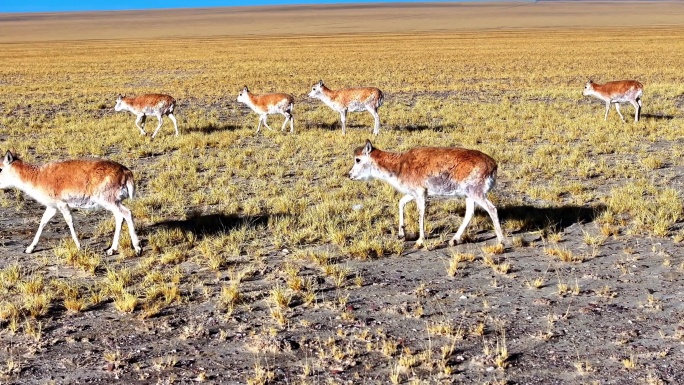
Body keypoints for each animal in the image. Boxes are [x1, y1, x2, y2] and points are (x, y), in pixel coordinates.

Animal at [0, 150, 142, 255]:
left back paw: (134, 248)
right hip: (114, 201)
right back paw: (114, 249)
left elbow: (69, 221)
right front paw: (29, 249)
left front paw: (79, 246)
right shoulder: (52, 207)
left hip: (108, 200)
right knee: (122, 216)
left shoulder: (62, 204)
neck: (37, 177)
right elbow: (43, 222)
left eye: (0, 168)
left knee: (126, 213)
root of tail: (126, 172)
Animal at [350, 140, 504, 246]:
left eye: (358, 159)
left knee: (492, 209)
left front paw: (420, 241)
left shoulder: (420, 193)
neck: (400, 166)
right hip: (469, 195)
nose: (349, 175)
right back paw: (453, 241)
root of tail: (493, 165)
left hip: (476, 192)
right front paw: (401, 235)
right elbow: (401, 203)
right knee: (470, 213)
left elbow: (421, 213)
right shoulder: (412, 193)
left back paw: (501, 242)